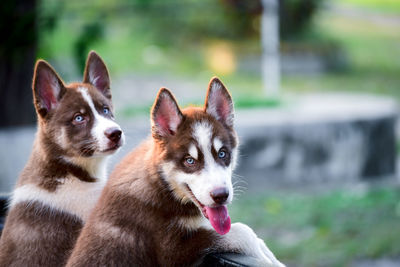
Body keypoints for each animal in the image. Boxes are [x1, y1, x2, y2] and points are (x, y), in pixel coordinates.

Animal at [66, 78, 284, 267]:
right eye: (189, 161)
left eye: (222, 154)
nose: (221, 195)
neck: (162, 185)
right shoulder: (173, 250)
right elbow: (241, 231)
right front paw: (269, 260)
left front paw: (270, 257)